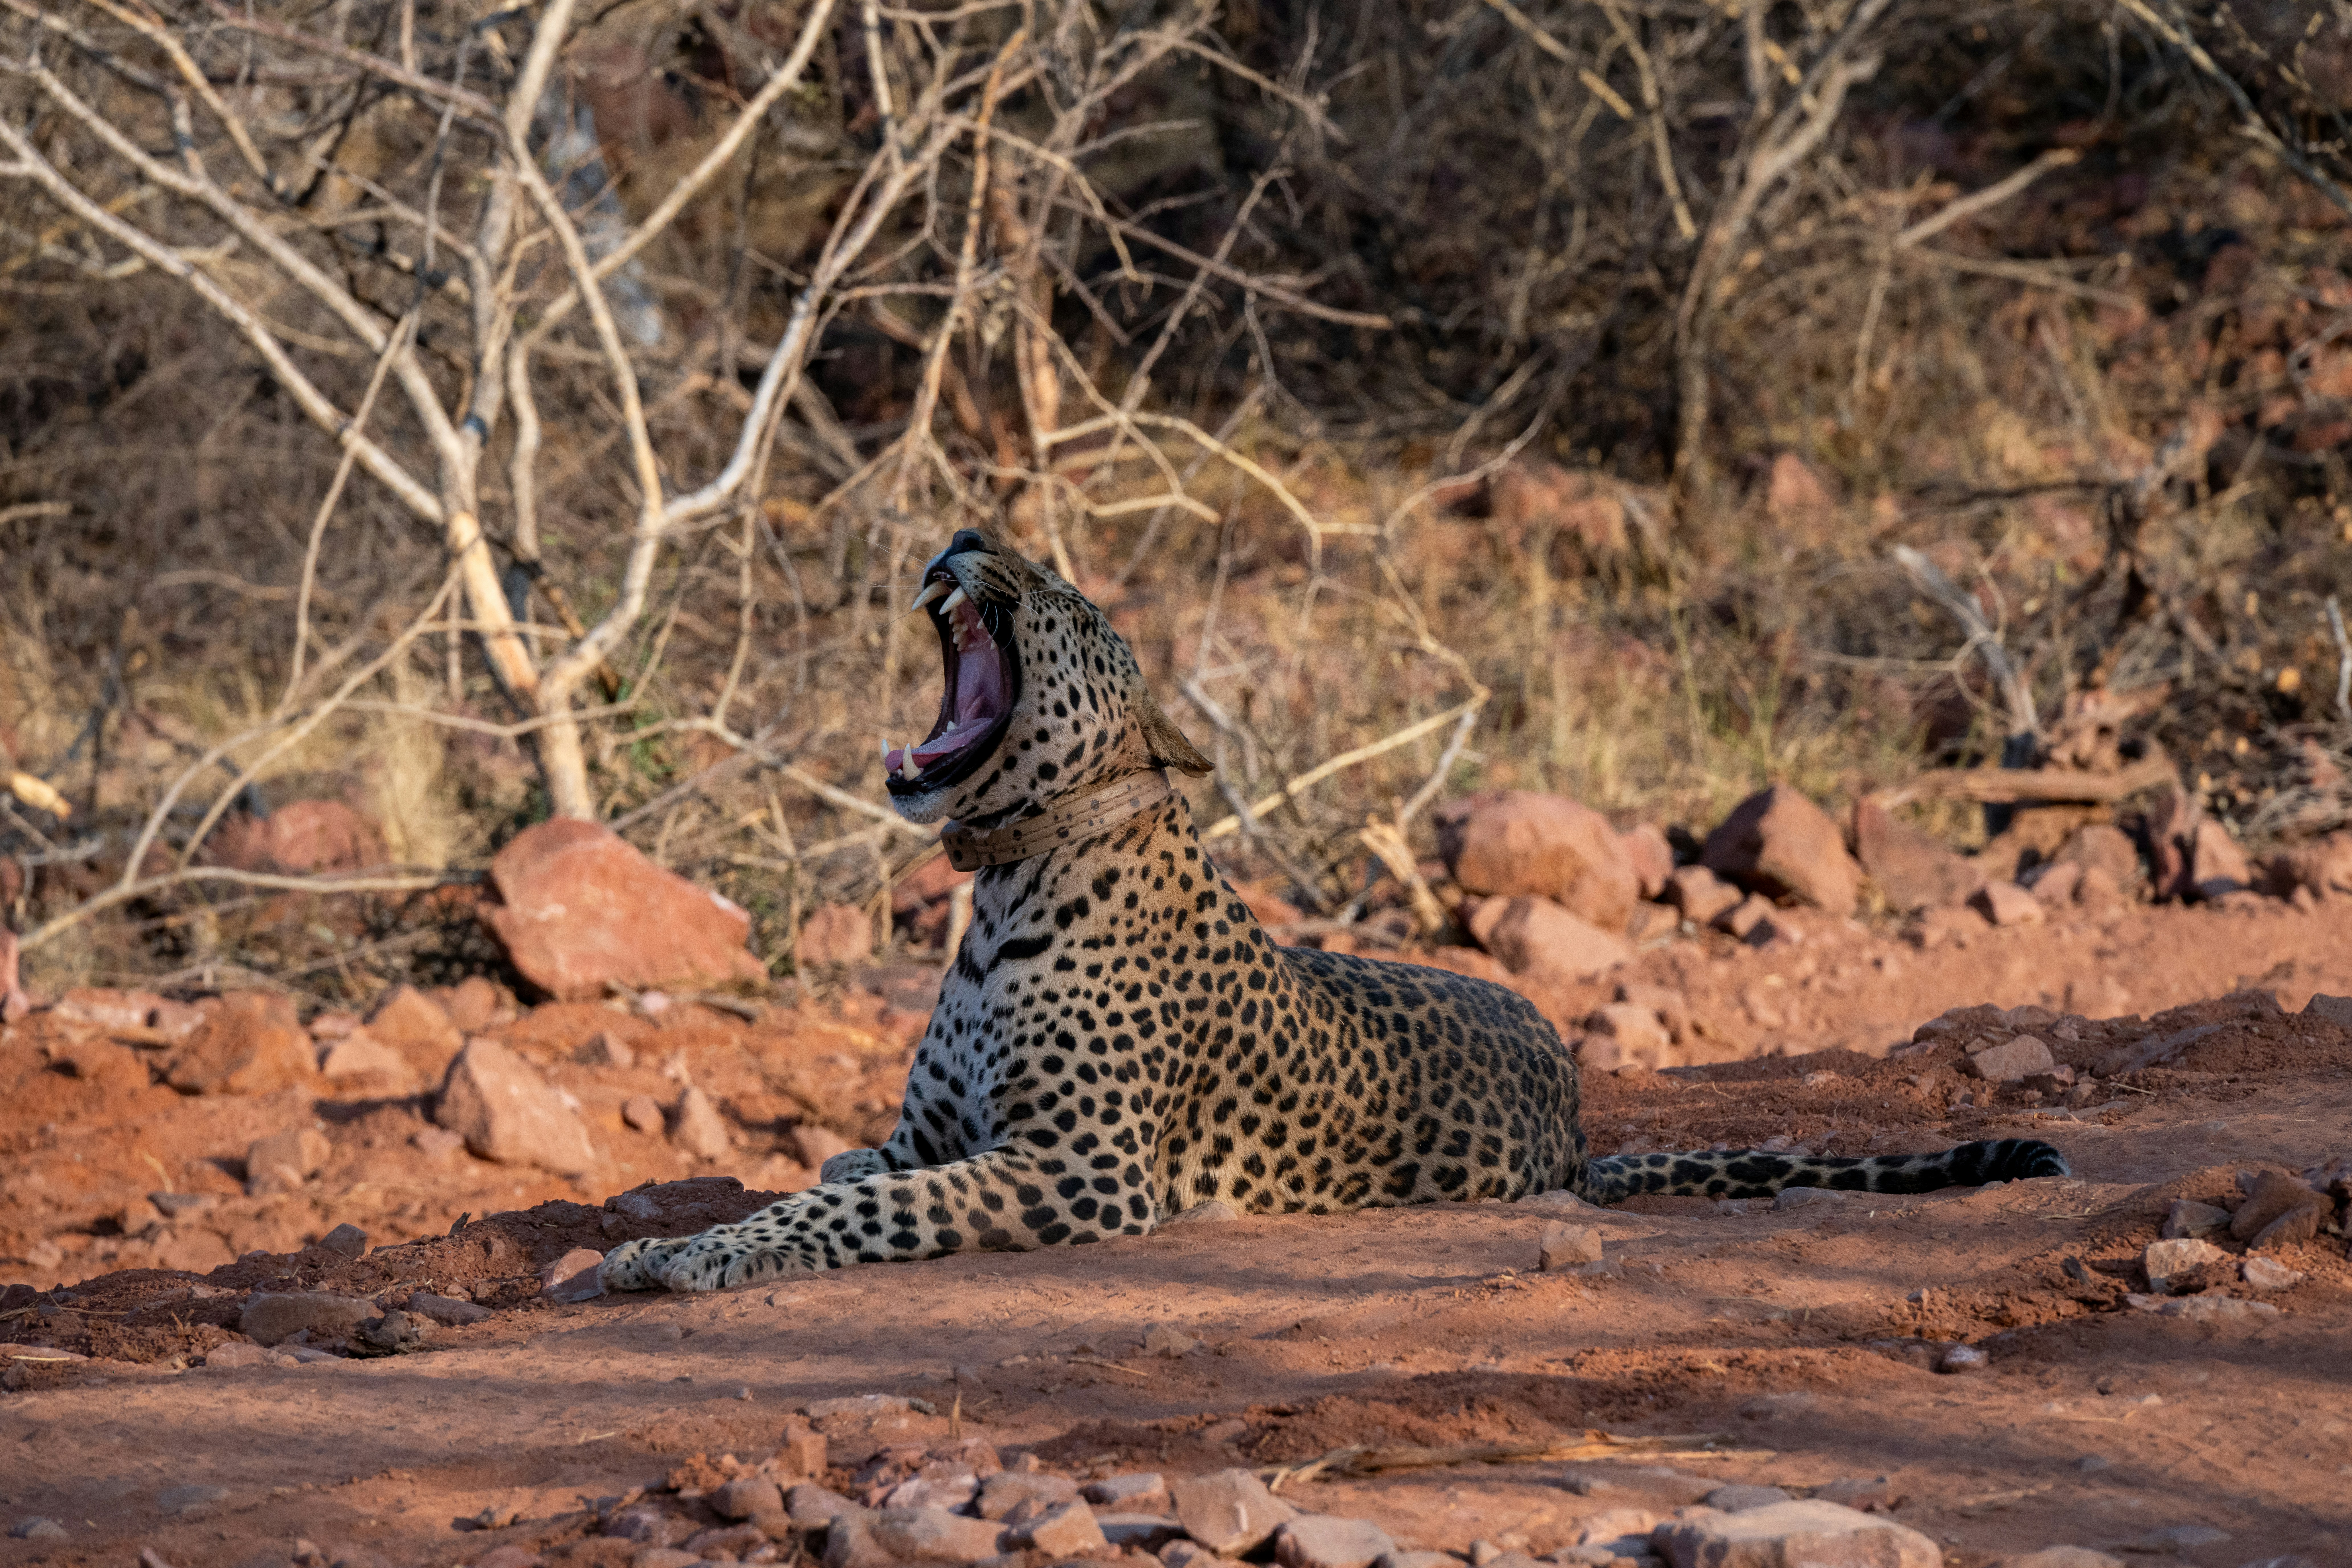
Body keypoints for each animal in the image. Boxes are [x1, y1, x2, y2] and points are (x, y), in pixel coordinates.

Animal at [601, 529, 2069, 1292]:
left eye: (1064, 595)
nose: (965, 536)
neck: (1009, 881)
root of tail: (1577, 1117)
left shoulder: (1080, 1167)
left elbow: (857, 1213)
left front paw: (686, 1255)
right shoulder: (932, 1134)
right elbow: (857, 1173)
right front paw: (689, 1233)